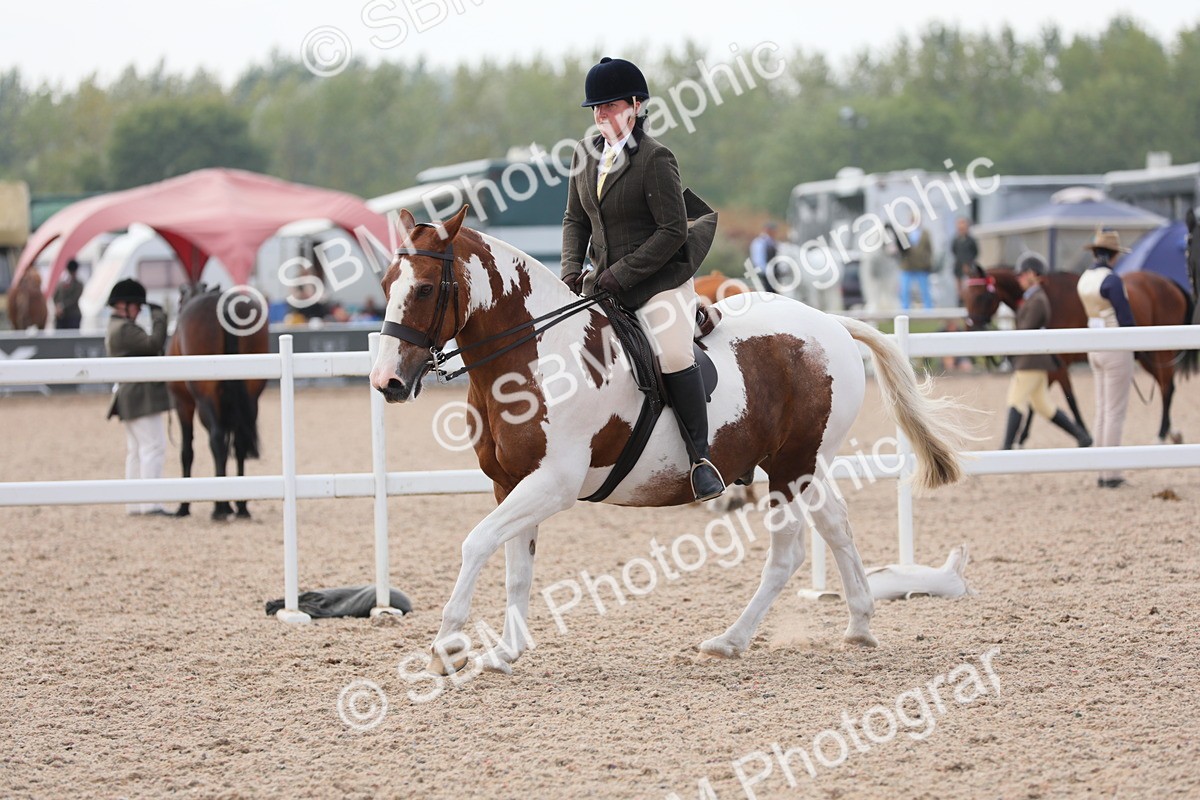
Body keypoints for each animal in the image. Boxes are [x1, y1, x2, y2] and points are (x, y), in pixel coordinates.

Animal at [167, 283, 268, 519]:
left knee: (216, 439)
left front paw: (184, 507)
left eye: (179, 301)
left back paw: (219, 508)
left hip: (205, 400)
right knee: (239, 442)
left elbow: (187, 451)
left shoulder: (183, 404)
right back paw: (241, 507)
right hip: (251, 397)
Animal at [369, 206, 972, 675]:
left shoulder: (553, 484)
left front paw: (446, 646)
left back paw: (729, 641)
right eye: (384, 287)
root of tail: (830, 324)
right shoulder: (511, 483)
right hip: (806, 463)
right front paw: (506, 651)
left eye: (424, 288)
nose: (388, 382)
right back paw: (859, 626)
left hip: (790, 469)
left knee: (790, 552)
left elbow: (476, 543)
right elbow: (517, 565)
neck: (534, 356)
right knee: (837, 529)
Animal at [964, 265, 1198, 444]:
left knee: (1167, 387)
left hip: (1160, 353)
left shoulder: (1059, 364)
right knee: (1166, 385)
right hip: (1147, 356)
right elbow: (1037, 402)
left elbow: (1070, 401)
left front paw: (1085, 436)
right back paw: (1171, 432)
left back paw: (1162, 434)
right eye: (966, 296)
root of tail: (1170, 284)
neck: (1049, 298)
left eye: (983, 296)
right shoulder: (1050, 365)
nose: (972, 328)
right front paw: (1022, 437)